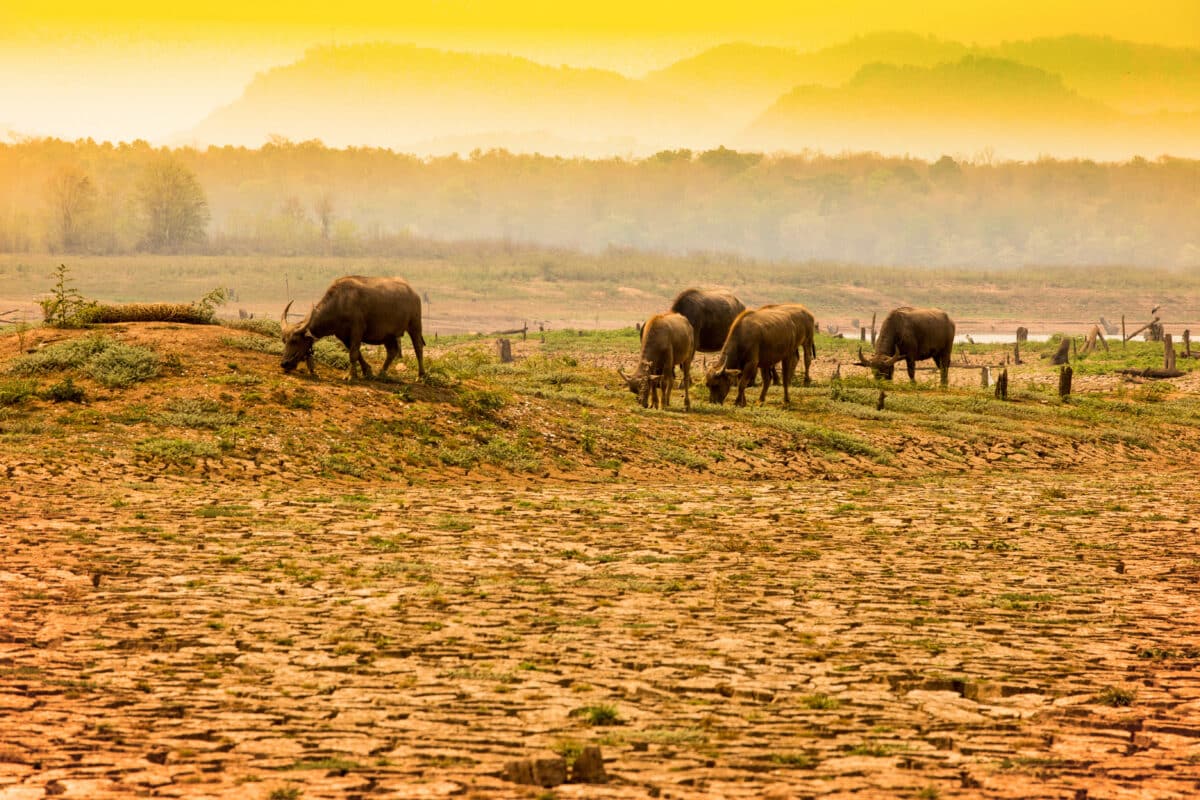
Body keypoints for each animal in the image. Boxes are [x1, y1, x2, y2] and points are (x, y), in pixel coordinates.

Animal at [280, 275, 425, 381]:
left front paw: (350, 375)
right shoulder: (342, 335)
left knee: (418, 347)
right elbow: (355, 352)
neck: (339, 303)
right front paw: (367, 371)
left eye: (295, 341)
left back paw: (420, 376)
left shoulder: (357, 331)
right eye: (284, 340)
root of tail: (414, 293)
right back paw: (381, 373)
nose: (284, 364)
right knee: (392, 351)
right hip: (388, 335)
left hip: (415, 325)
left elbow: (353, 353)